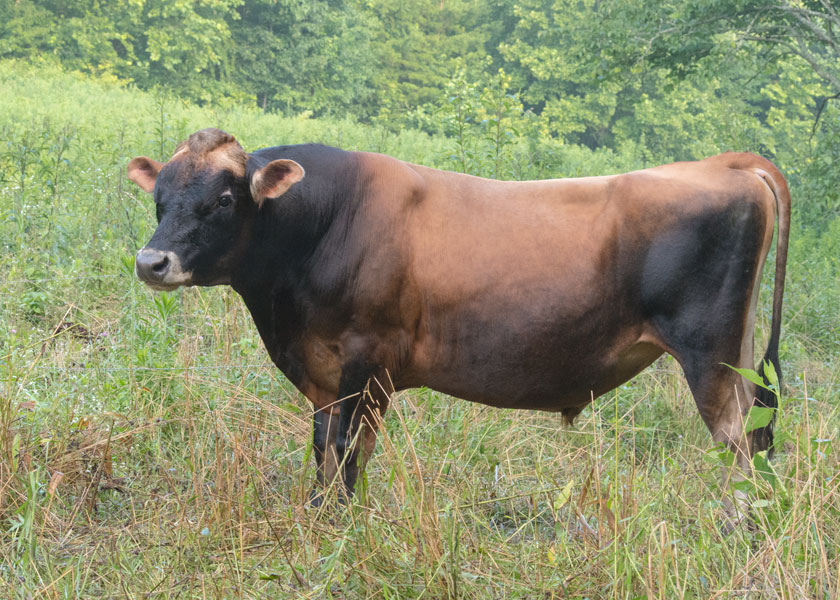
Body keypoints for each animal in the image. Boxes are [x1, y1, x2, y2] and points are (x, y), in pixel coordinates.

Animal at [128, 128, 789, 519]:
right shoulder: (327, 370)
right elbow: (327, 445)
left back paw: (736, 524)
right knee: (758, 430)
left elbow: (345, 448)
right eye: (159, 198)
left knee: (738, 441)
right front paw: (323, 513)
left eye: (223, 199)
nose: (151, 262)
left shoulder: (364, 359)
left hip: (709, 354)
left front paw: (339, 523)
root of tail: (728, 163)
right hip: (739, 352)